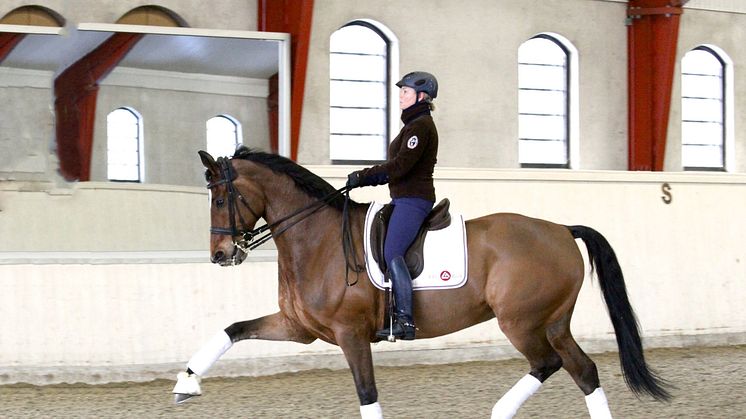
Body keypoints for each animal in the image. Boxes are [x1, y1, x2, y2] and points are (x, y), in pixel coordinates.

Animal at [173, 147, 668, 416]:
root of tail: (562, 229)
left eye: (220, 198)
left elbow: (367, 393)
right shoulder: (300, 329)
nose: (220, 255)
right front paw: (186, 383)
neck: (316, 238)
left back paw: (498, 412)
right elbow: (233, 330)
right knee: (583, 370)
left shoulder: (351, 334)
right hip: (553, 321)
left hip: (522, 321)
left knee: (548, 364)